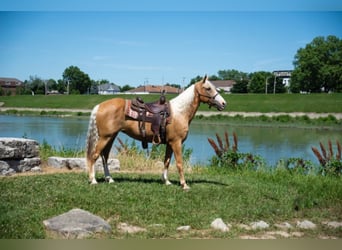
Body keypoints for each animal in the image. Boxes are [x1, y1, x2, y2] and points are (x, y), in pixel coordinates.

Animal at [86, 75, 227, 188]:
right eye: (208, 88)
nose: (223, 103)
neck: (179, 112)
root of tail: (100, 106)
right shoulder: (176, 143)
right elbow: (179, 163)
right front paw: (184, 185)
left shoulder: (170, 143)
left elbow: (167, 162)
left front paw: (166, 181)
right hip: (105, 137)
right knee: (94, 156)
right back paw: (93, 180)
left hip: (111, 137)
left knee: (104, 156)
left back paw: (109, 179)